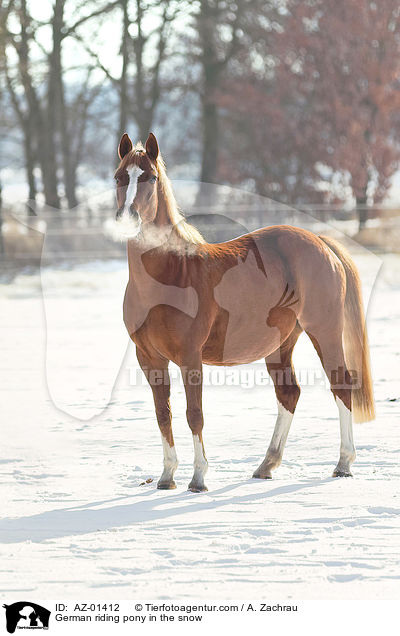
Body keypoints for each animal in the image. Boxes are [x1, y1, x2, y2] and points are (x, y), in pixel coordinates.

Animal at [113, 133, 376, 492]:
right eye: (119, 177)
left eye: (150, 177)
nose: (128, 218)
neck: (172, 273)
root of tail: (320, 242)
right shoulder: (150, 358)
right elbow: (162, 414)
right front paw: (167, 477)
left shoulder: (190, 357)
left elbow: (194, 414)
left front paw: (198, 478)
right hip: (281, 344)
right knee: (289, 393)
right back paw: (266, 465)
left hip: (324, 332)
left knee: (341, 385)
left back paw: (343, 463)